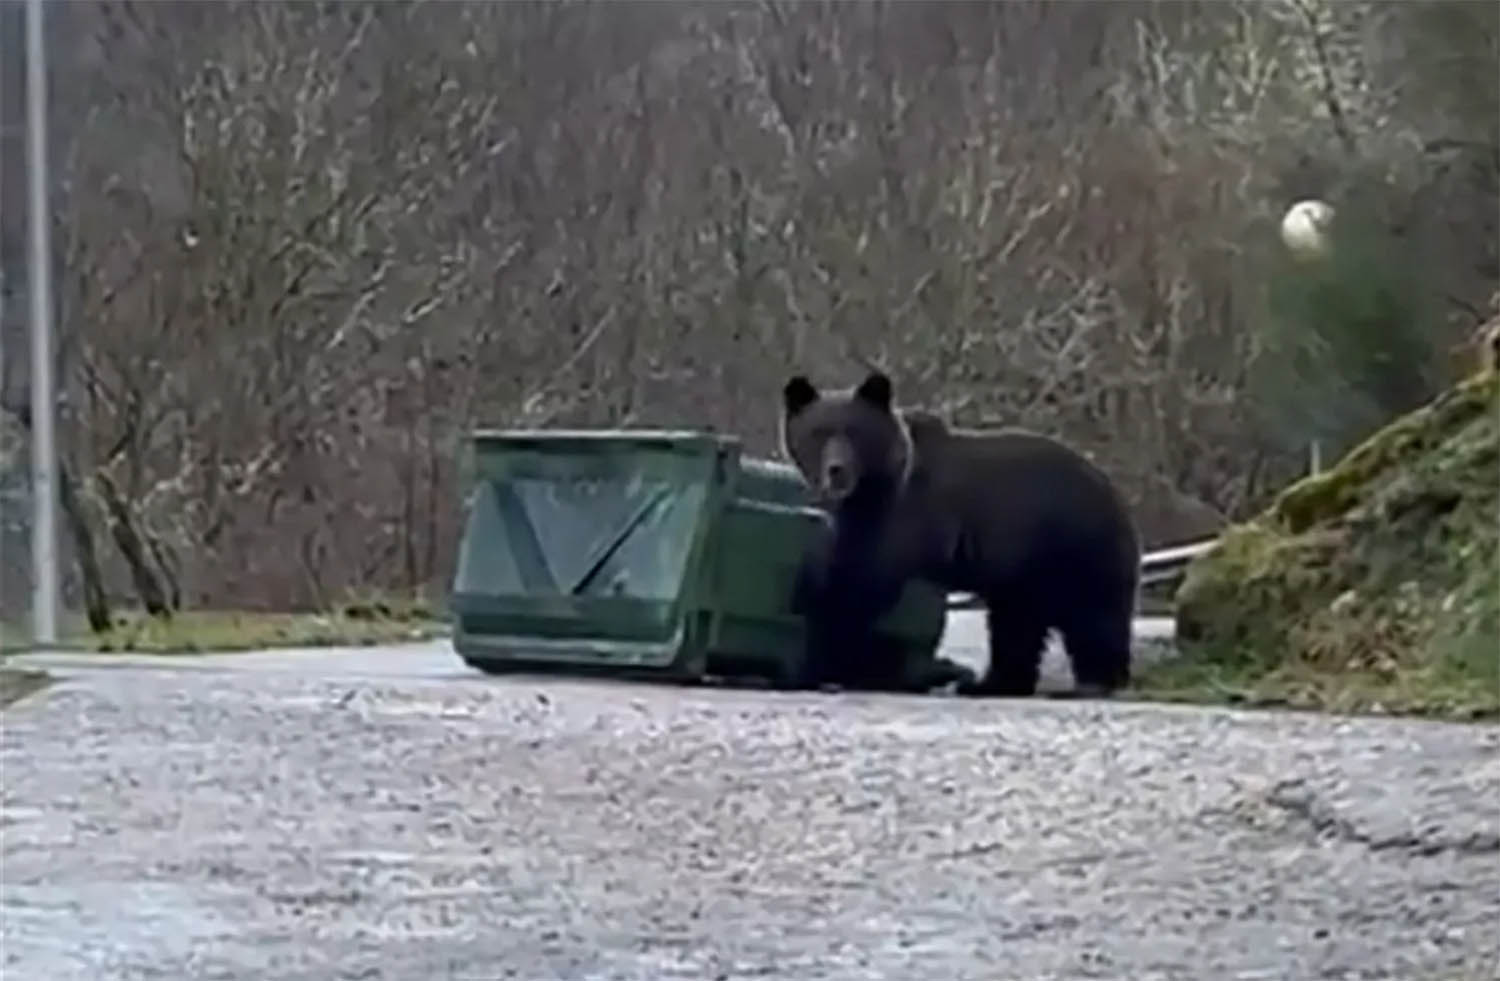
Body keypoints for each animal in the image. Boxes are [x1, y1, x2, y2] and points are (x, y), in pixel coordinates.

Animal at [780, 370, 1141, 698]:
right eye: (817, 433)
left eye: (856, 432)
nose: (837, 470)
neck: (871, 490)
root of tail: (1112, 489)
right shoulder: (857, 521)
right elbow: (839, 568)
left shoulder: (906, 515)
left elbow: (858, 585)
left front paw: (820, 666)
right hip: (1025, 572)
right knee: (1018, 624)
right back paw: (991, 684)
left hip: (1073, 543)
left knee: (1092, 614)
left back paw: (1092, 683)